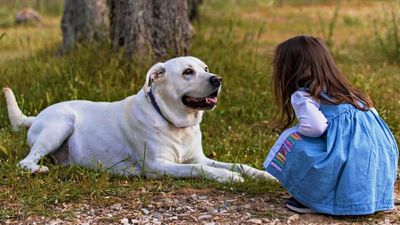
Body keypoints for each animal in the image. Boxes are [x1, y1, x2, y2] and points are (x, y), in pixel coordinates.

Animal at [3, 56, 276, 183]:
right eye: (188, 72)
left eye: (206, 69)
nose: (217, 79)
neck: (175, 123)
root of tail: (35, 116)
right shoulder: (158, 165)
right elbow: (198, 169)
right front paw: (227, 177)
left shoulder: (198, 156)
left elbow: (237, 164)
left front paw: (262, 175)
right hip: (61, 124)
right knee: (25, 161)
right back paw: (38, 169)